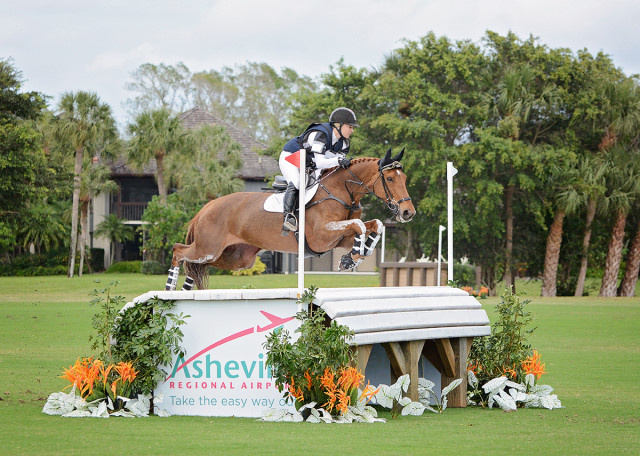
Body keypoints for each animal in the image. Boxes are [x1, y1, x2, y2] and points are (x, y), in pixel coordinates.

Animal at [165, 151, 416, 292]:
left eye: (403, 178)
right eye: (390, 179)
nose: (408, 212)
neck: (339, 191)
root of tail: (205, 208)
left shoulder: (336, 239)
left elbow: (374, 225)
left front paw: (351, 258)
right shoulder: (321, 237)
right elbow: (360, 225)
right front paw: (350, 259)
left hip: (236, 258)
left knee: (196, 265)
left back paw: (184, 291)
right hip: (208, 248)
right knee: (179, 251)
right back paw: (169, 291)